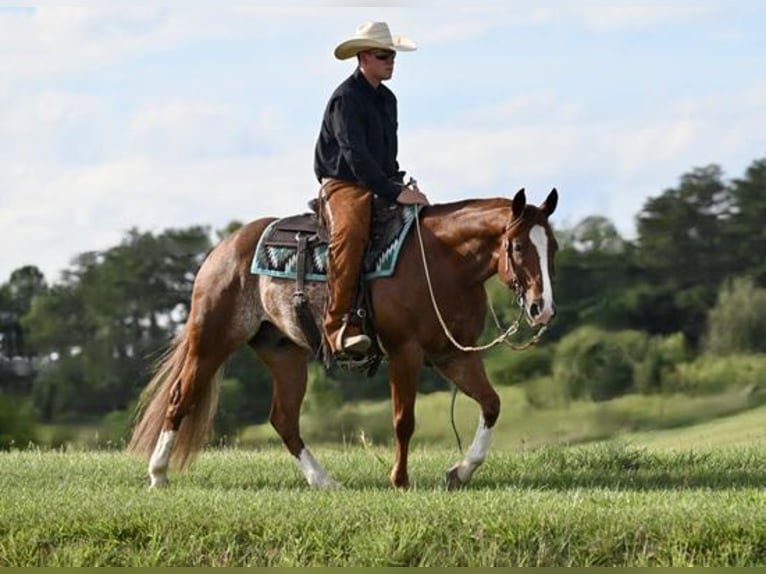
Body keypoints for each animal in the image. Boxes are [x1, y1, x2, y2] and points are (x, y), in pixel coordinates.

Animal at [127, 188, 560, 490]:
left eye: (552, 246)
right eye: (518, 245)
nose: (542, 308)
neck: (443, 261)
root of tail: (223, 249)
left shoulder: (453, 354)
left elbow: (492, 403)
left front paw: (460, 472)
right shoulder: (405, 351)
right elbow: (404, 419)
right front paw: (400, 480)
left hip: (284, 353)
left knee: (283, 419)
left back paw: (323, 481)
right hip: (212, 339)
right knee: (181, 397)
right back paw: (158, 474)